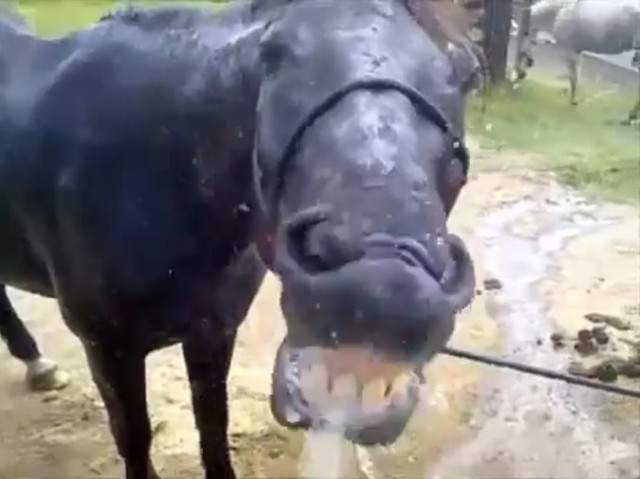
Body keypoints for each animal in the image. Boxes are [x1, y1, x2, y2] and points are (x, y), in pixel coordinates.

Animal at [0, 0, 480, 477]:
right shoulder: (107, 346)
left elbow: (213, 425)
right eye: (272, 52)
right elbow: (134, 437)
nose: (384, 288)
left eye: (469, 73)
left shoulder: (214, 330)